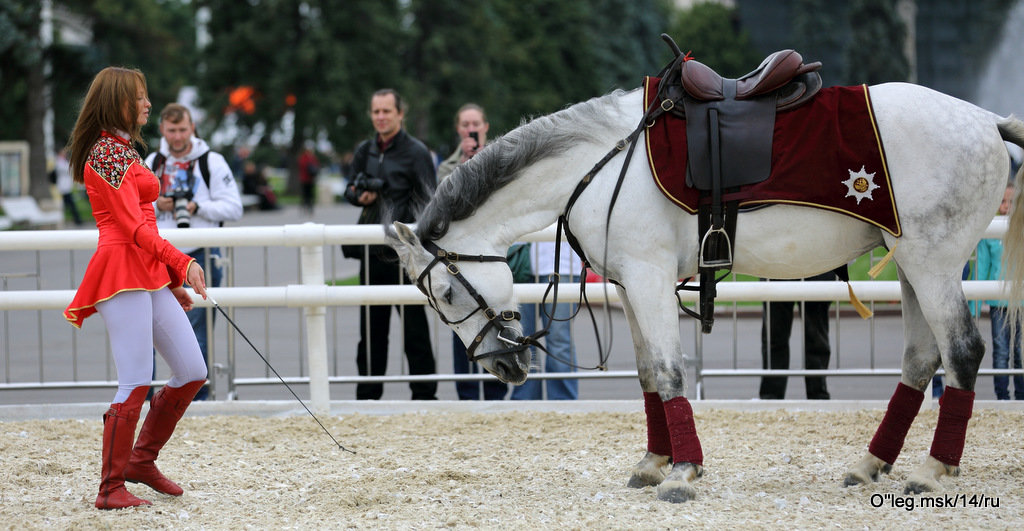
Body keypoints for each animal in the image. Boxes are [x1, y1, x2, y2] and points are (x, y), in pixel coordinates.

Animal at [385, 80, 1024, 501]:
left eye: (445, 294)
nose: (502, 367)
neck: (599, 165)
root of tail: (985, 119)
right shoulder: (630, 284)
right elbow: (649, 375)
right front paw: (653, 461)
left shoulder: (648, 277)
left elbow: (669, 372)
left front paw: (682, 472)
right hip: (912, 266)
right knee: (921, 358)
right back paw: (871, 464)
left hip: (932, 263)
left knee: (962, 351)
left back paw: (932, 469)